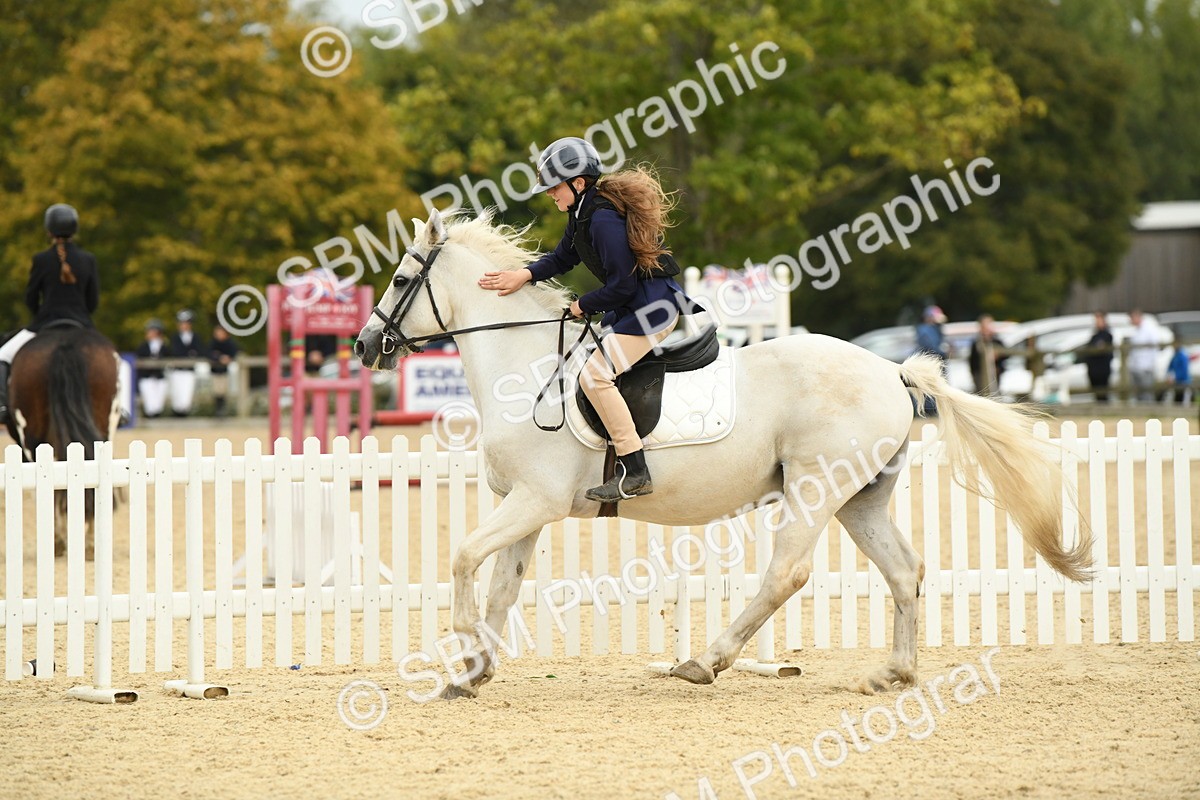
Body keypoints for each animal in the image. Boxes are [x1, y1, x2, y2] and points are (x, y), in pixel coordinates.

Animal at [355, 208, 1092, 699]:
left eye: (400, 279)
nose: (363, 347)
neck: (524, 363)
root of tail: (892, 371)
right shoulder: (526, 508)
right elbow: (503, 584)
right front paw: (475, 668)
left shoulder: (535, 501)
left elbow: (462, 558)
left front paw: (463, 648)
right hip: (861, 497)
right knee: (903, 571)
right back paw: (894, 673)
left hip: (815, 489)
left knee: (785, 574)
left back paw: (704, 662)